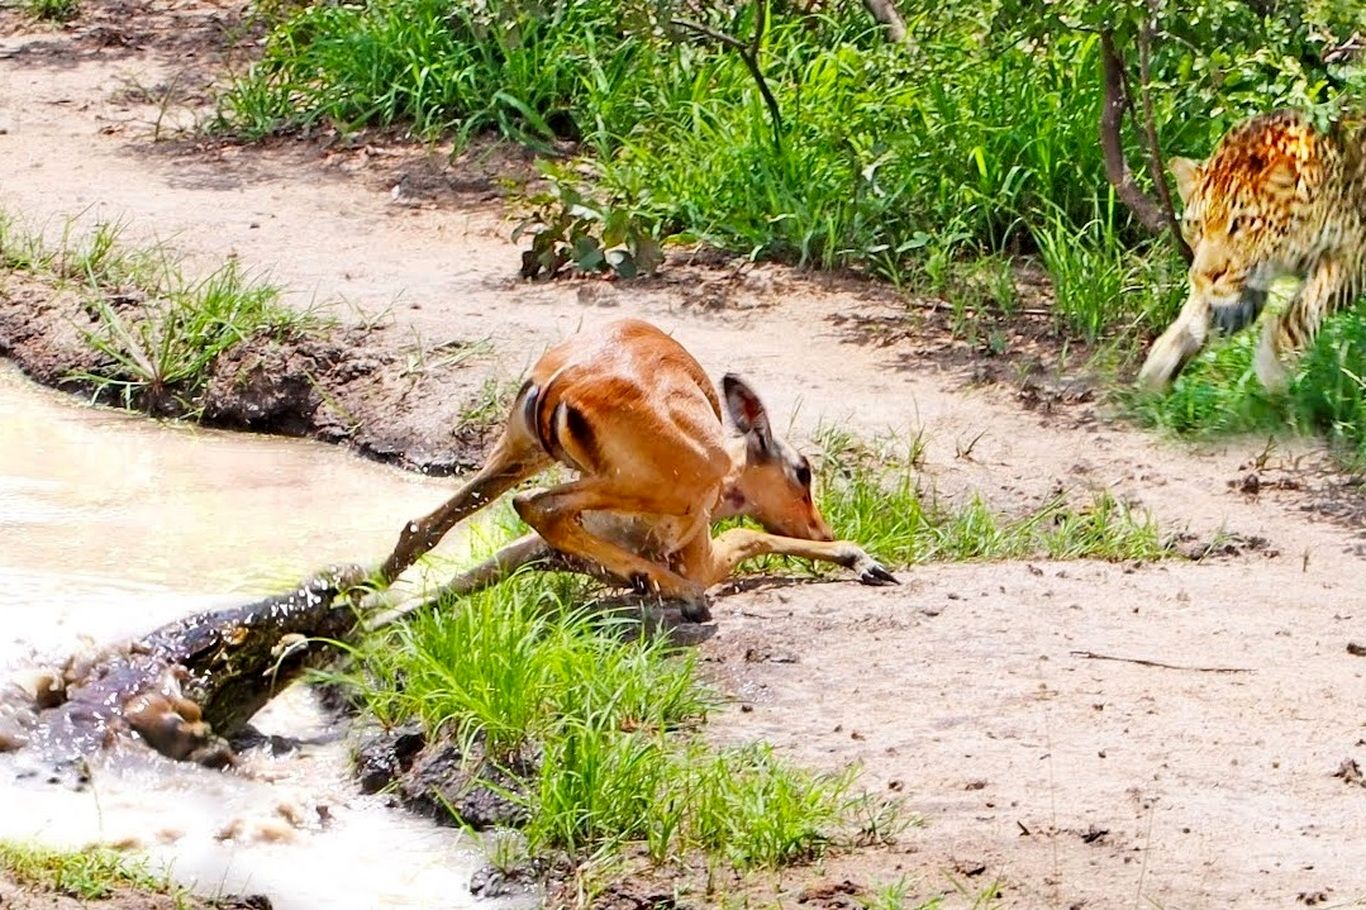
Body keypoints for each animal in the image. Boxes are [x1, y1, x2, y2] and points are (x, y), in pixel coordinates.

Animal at [1131, 107, 1366, 390]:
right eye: (1196, 226)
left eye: (1241, 223)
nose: (1208, 275)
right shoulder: (1244, 283)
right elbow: (1202, 310)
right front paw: (1163, 357)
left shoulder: (1353, 252)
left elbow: (1304, 307)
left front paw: (1272, 363)